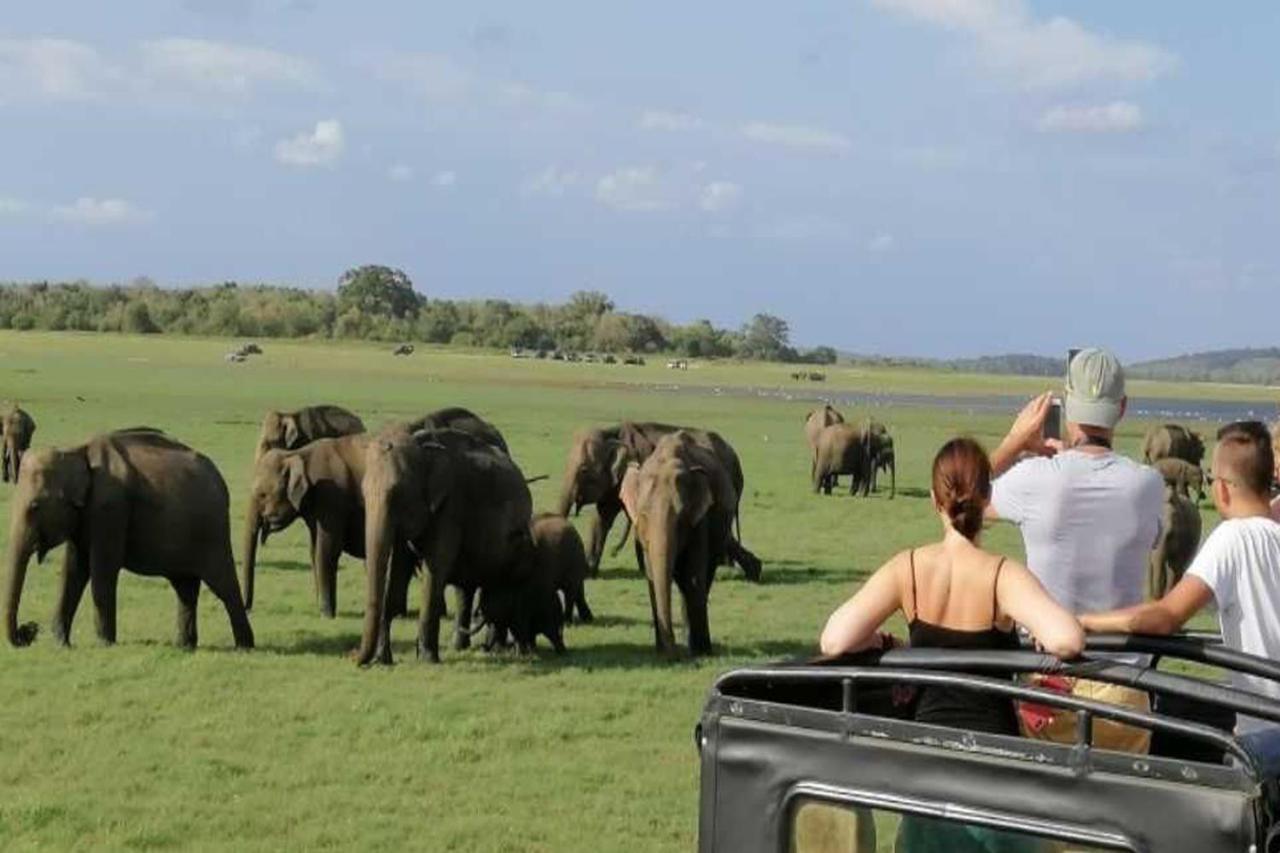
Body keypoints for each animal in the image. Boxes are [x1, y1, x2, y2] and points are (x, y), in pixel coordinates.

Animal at [2, 427, 252, 648]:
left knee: (223, 585)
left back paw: (244, 646)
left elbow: (102, 569)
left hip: (213, 531)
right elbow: (73, 570)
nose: (29, 631)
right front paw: (62, 644)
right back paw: (184, 646)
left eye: (34, 507)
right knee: (185, 587)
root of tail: (221, 481)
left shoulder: (109, 508)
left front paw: (105, 644)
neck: (77, 451)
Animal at [240, 435, 414, 614]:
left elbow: (327, 549)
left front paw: (326, 613)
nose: (248, 609)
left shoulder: (330, 497)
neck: (297, 454)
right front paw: (321, 608)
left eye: (262, 495)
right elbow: (314, 549)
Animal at [358, 425, 532, 666]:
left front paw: (427, 659)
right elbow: (398, 573)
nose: (354, 658)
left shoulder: (450, 509)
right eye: (363, 493)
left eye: (398, 493)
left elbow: (434, 571)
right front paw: (383, 660)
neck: (422, 449)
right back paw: (459, 647)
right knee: (466, 590)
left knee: (500, 586)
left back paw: (497, 648)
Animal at [552, 417, 757, 578]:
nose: (613, 552)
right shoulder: (614, 482)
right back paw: (749, 569)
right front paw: (589, 572)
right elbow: (602, 518)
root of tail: (735, 456)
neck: (611, 433)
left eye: (583, 470)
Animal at [622, 427, 742, 653]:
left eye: (681, 518)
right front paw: (661, 652)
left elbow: (694, 576)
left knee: (703, 576)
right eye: (643, 515)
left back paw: (698, 646)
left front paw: (699, 652)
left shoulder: (701, 519)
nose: (674, 652)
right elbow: (652, 576)